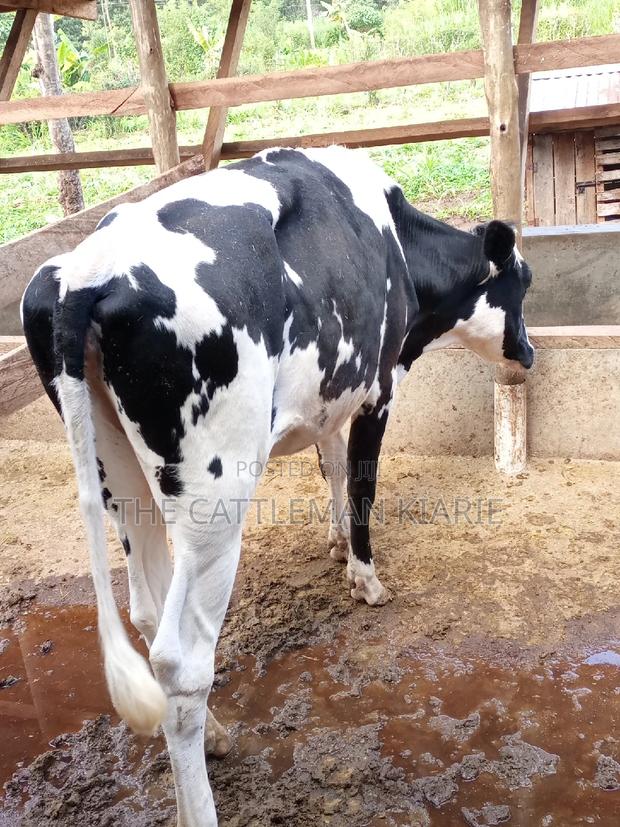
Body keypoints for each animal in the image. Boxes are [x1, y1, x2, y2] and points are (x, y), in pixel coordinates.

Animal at [22, 146, 534, 826]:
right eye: (524, 285)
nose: (529, 353)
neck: (397, 242)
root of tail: (86, 273)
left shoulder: (333, 390)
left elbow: (333, 465)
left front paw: (337, 544)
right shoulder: (379, 385)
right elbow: (363, 483)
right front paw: (366, 579)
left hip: (120, 476)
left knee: (149, 609)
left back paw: (215, 731)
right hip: (216, 493)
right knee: (180, 658)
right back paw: (200, 797)